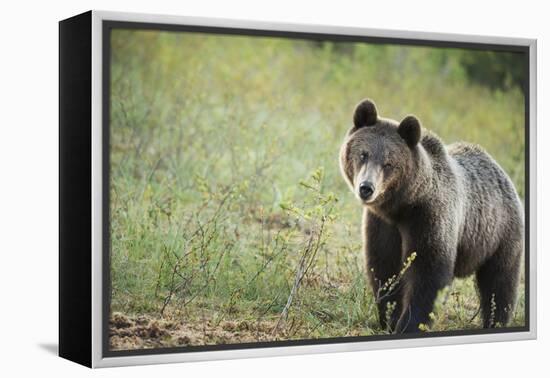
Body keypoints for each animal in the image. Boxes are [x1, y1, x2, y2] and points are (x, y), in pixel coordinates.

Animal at [340, 98, 528, 334]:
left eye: (389, 163)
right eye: (363, 154)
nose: (366, 188)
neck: (401, 207)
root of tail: (501, 171)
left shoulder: (429, 217)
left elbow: (429, 273)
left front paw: (409, 324)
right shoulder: (382, 226)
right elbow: (385, 268)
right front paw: (389, 317)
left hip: (500, 233)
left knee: (499, 282)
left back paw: (495, 319)